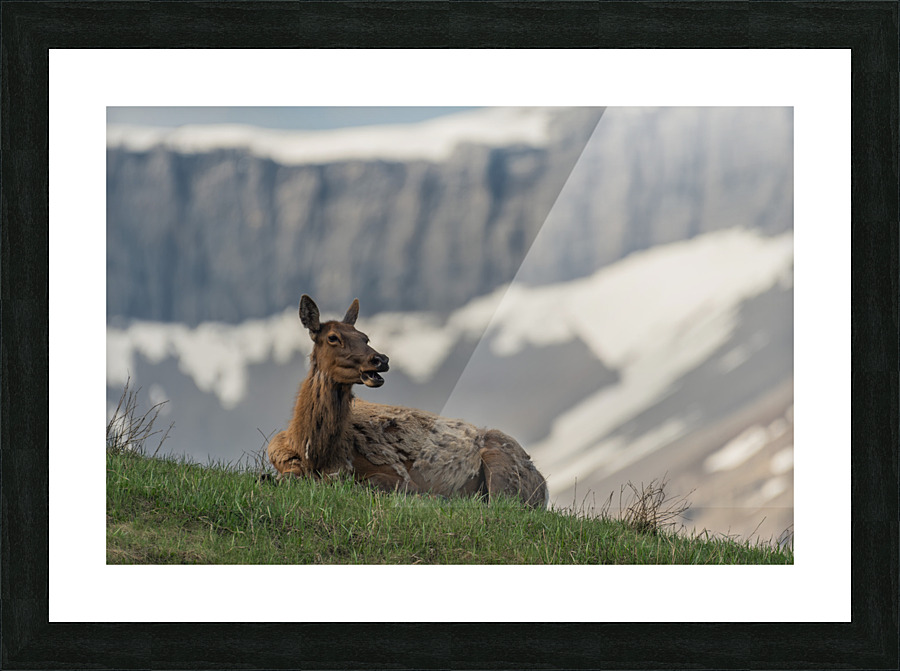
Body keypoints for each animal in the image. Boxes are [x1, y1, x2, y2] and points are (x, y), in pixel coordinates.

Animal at [267, 295, 548, 508]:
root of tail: (543, 483)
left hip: (504, 470)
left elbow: (368, 483)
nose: (381, 359)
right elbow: (284, 478)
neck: (314, 453)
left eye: (365, 337)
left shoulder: (397, 473)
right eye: (333, 337)